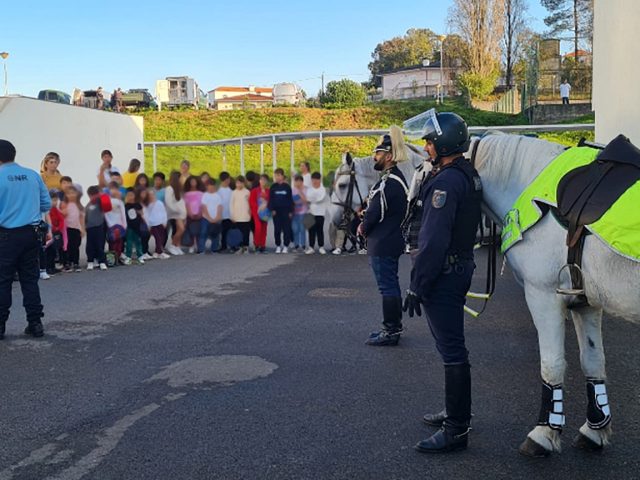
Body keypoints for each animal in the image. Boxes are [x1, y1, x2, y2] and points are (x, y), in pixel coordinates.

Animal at [470, 133, 640, 456]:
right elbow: (593, 360)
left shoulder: (543, 295)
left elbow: (552, 364)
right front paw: (594, 429)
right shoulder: (586, 302)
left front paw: (544, 434)